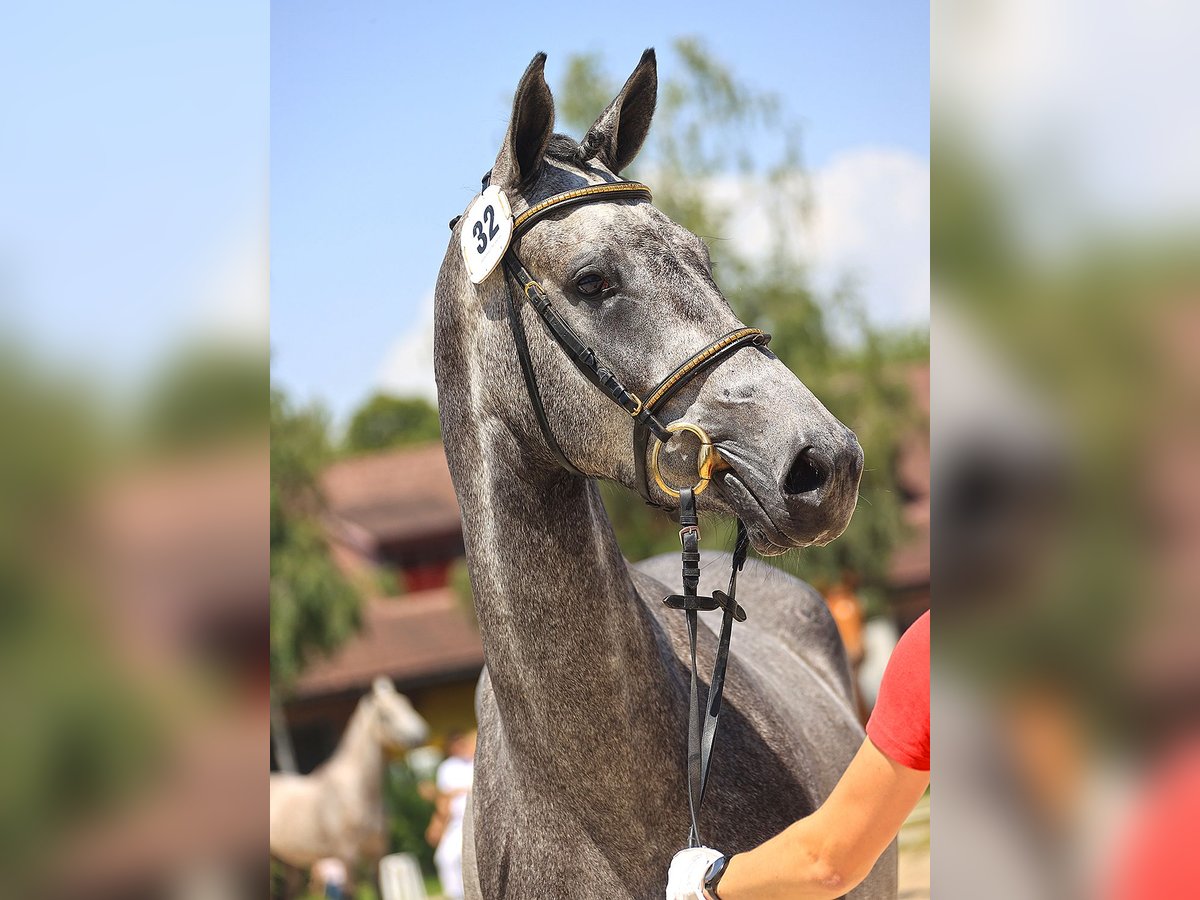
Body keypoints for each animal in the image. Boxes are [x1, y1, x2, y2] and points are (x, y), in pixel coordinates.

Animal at [270, 681, 429, 878]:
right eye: (384, 715)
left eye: (406, 703)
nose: (420, 735)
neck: (360, 792)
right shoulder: (346, 857)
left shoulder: (378, 853)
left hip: (289, 862)